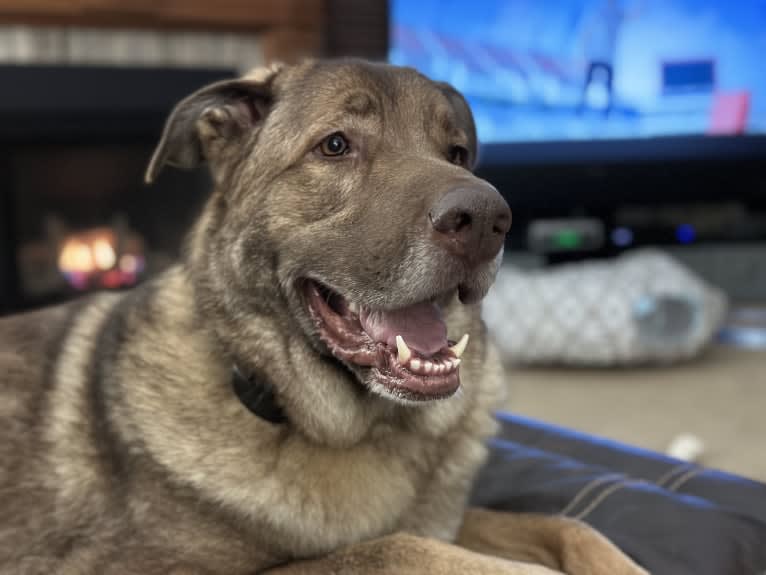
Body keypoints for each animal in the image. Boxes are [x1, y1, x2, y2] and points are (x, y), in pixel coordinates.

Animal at [0, 60, 648, 572]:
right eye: (335, 146)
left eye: (459, 154)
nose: (490, 220)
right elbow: (393, 548)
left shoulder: (453, 515)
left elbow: (565, 525)